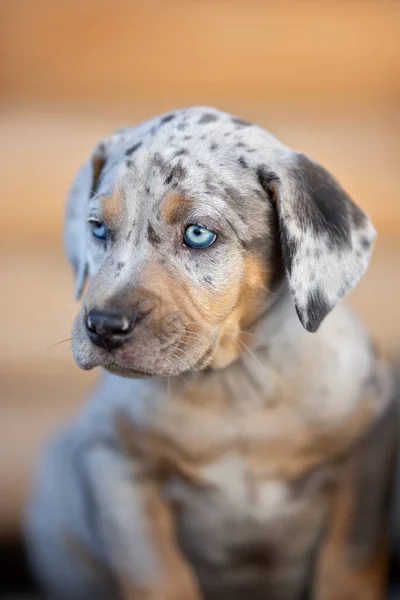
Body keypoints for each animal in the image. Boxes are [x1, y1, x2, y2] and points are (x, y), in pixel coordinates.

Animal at [25, 109, 396, 600]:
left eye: (198, 234)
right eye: (98, 229)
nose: (103, 326)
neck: (232, 383)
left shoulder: (368, 455)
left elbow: (346, 568)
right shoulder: (117, 464)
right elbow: (156, 575)